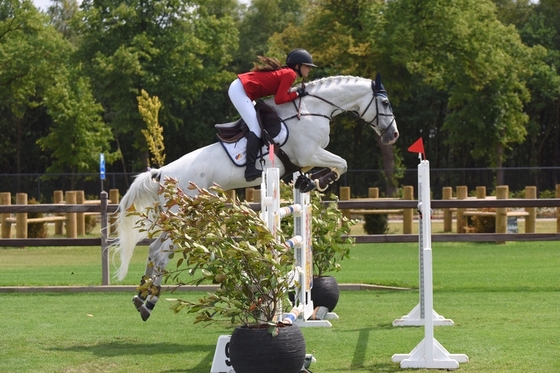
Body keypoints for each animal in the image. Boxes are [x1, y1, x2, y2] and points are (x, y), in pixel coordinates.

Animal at [114, 73, 398, 320]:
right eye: (384, 102)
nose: (393, 135)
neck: (312, 110)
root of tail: (162, 173)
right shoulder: (310, 153)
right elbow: (343, 163)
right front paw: (316, 181)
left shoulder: (306, 159)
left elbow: (334, 166)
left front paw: (307, 182)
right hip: (183, 219)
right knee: (161, 253)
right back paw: (149, 300)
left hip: (181, 218)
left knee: (154, 250)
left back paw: (143, 296)